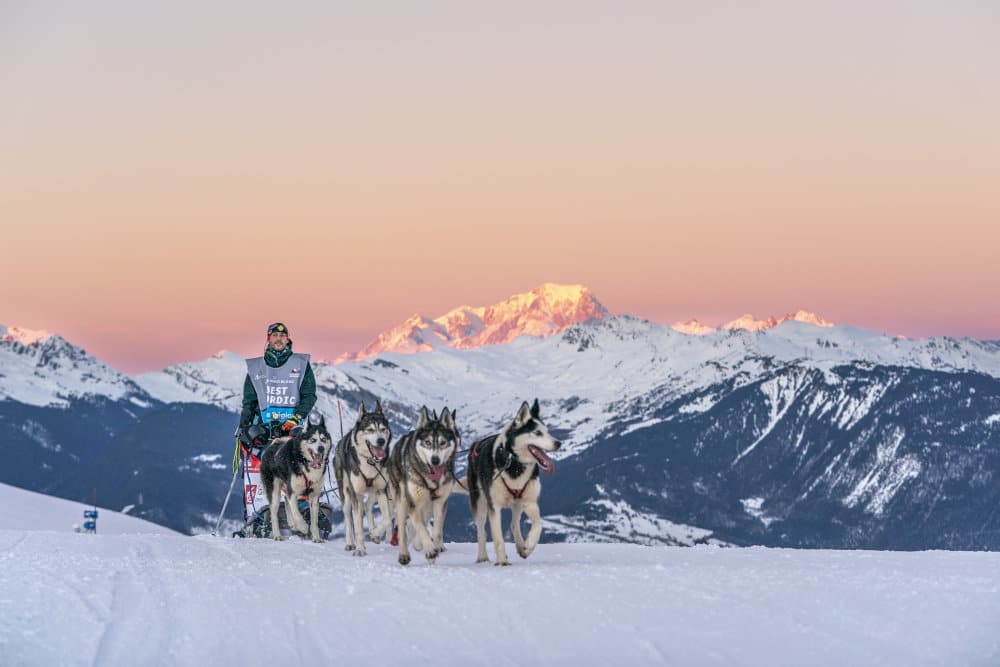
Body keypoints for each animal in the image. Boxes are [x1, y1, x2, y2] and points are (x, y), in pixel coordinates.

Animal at [468, 400, 564, 568]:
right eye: (537, 433)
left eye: (547, 431)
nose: (558, 443)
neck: (514, 463)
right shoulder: (494, 506)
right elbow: (498, 538)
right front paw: (501, 561)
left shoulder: (530, 502)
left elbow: (538, 525)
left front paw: (529, 545)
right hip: (479, 502)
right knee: (481, 530)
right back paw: (482, 557)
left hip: (518, 503)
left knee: (514, 524)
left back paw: (521, 547)